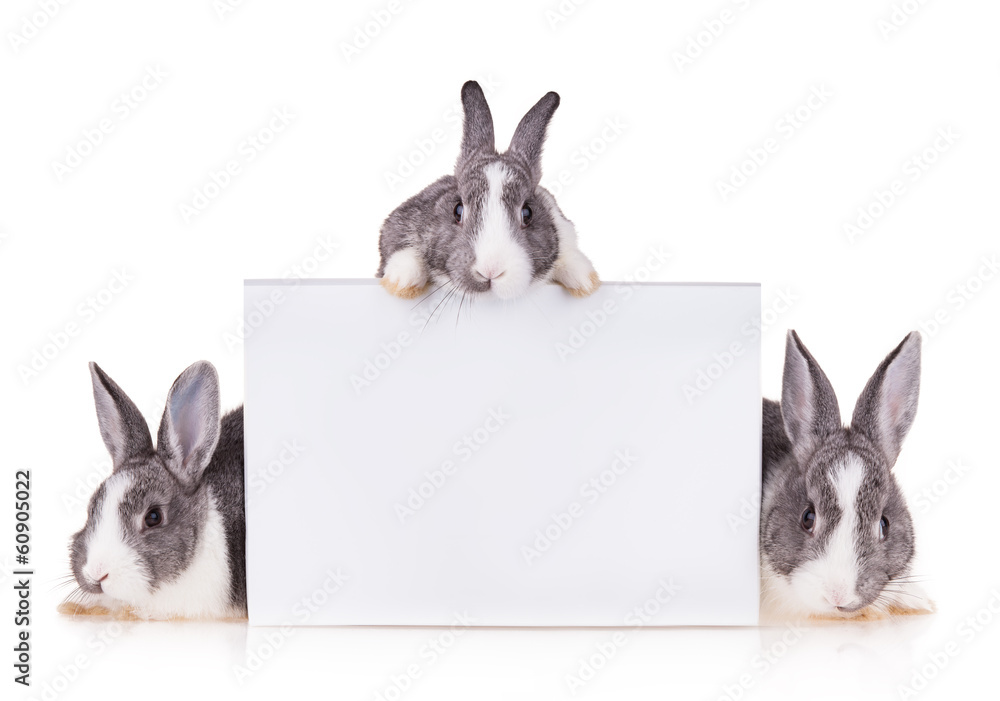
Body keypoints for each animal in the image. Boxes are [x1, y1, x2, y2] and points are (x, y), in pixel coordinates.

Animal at [374, 80, 592, 300]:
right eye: (457, 210)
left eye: (527, 213)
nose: (491, 270)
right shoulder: (399, 224)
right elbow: (402, 249)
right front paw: (401, 283)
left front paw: (586, 281)